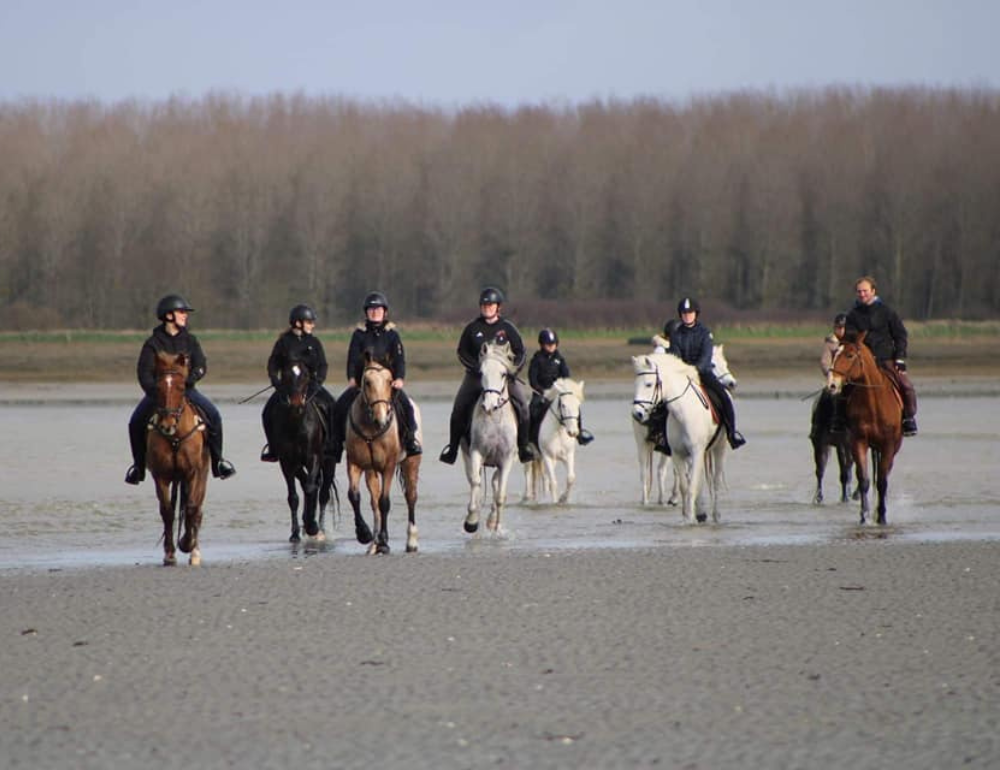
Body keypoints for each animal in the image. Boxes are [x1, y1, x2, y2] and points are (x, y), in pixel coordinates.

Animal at [146, 352, 209, 560]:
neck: (175, 436)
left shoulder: (193, 472)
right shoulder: (161, 475)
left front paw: (187, 544)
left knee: (197, 509)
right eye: (158, 387)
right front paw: (169, 553)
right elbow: (167, 511)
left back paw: (195, 550)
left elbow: (191, 508)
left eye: (181, 387)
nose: (167, 425)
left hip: (202, 473)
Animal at [464, 340, 520, 532]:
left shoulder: (507, 458)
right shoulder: (475, 452)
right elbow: (476, 483)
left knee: (495, 483)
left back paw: (491, 519)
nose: (489, 405)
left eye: (503, 374)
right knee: (476, 480)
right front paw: (471, 520)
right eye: (481, 373)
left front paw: (498, 528)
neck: (494, 419)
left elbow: (501, 495)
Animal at [632, 348, 736, 520]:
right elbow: (684, 486)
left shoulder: (697, 451)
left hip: (719, 448)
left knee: (715, 480)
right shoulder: (677, 453)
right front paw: (688, 516)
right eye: (637, 385)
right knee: (646, 474)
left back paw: (715, 514)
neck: (683, 410)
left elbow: (692, 484)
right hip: (643, 444)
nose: (637, 414)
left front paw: (691, 515)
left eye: (648, 384)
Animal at [824, 332, 904, 524]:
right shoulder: (858, 442)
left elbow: (882, 481)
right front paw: (864, 515)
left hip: (893, 447)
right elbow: (864, 480)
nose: (832, 384)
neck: (873, 402)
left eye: (850, 355)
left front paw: (881, 516)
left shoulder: (888, 445)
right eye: (834, 354)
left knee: (884, 475)